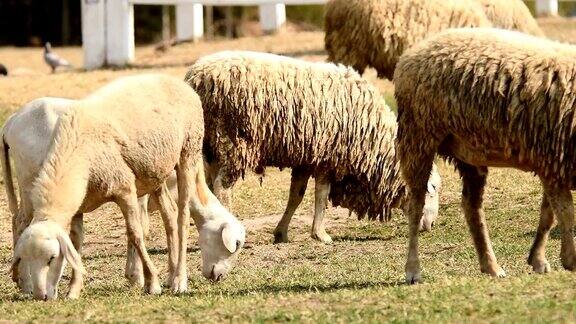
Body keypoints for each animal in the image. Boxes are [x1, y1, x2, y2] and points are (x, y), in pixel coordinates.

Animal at [184, 50, 440, 243]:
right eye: (433, 189)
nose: (431, 225)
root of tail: (195, 77)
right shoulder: (328, 155)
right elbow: (321, 196)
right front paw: (321, 235)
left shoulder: (307, 157)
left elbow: (296, 196)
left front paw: (281, 233)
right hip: (233, 143)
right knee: (222, 189)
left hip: (211, 148)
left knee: (207, 187)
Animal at [394, 27, 576, 284]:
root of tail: (411, 53)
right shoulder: (552, 161)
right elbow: (566, 214)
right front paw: (570, 259)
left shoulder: (553, 163)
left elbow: (548, 214)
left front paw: (538, 260)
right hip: (418, 135)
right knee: (417, 203)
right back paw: (413, 269)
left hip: (468, 153)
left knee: (471, 206)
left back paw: (490, 265)